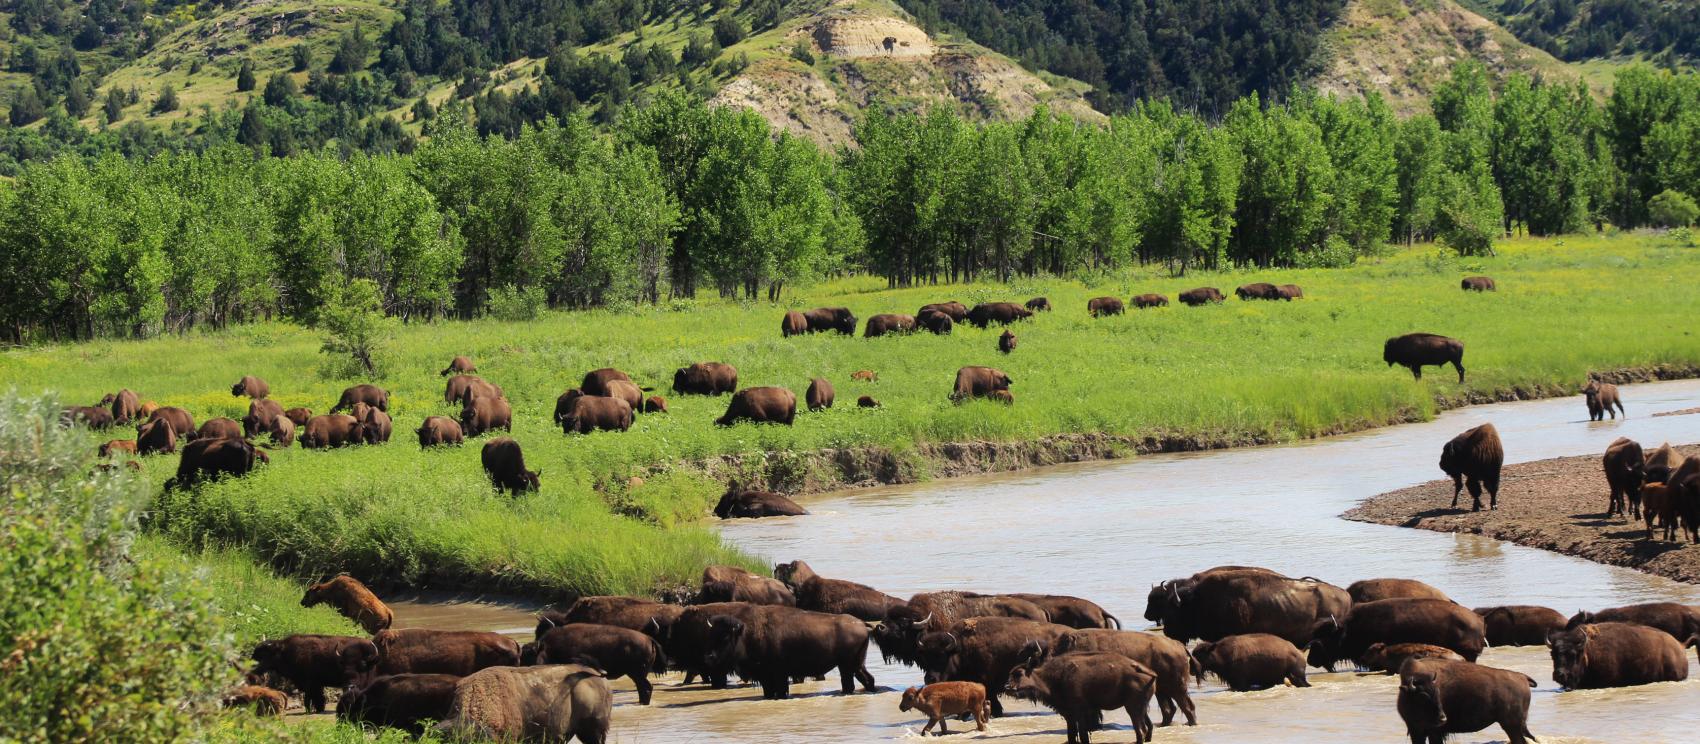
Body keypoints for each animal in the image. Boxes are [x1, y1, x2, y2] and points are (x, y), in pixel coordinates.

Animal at [1398, 657, 1536, 744]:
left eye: (1438, 693)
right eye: (1422, 696)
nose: (1443, 718)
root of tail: (1522, 677)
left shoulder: (1434, 732)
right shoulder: (1416, 731)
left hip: (1511, 726)